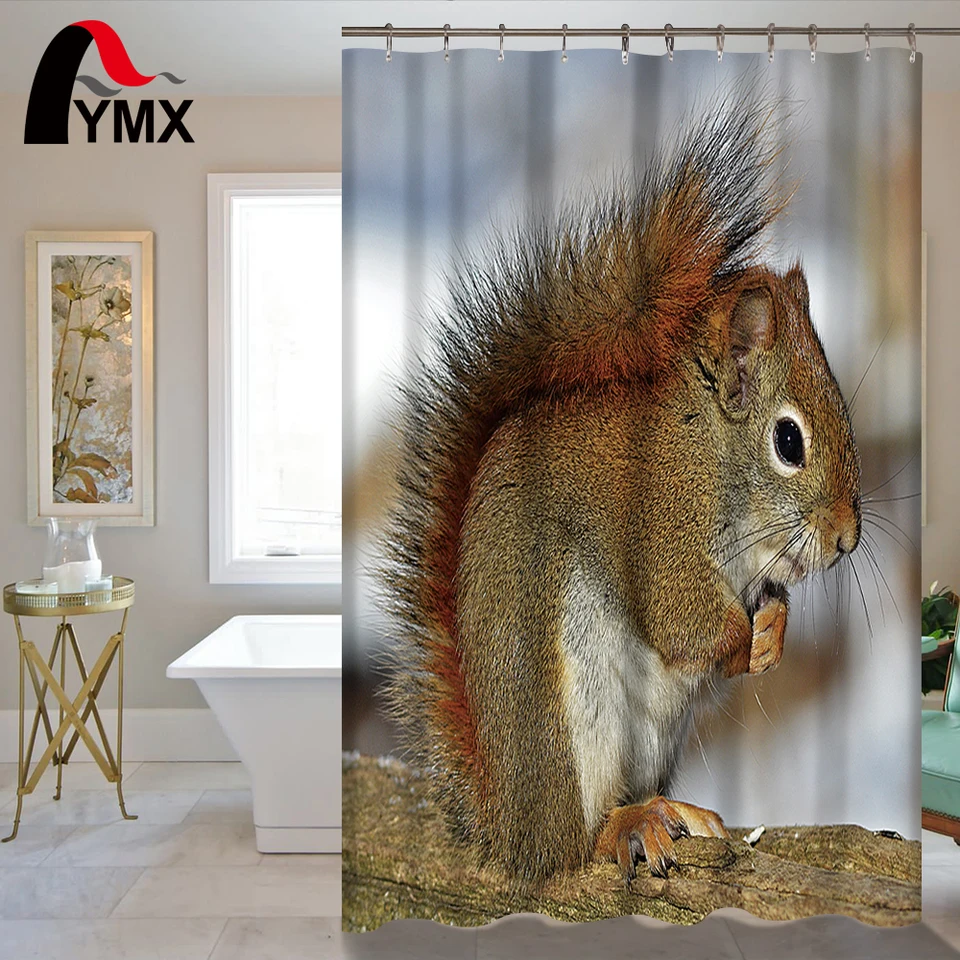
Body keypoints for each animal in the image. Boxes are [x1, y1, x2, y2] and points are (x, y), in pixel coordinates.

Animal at [377, 94, 862, 888]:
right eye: (789, 441)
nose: (847, 539)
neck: (706, 451)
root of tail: (507, 825)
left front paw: (774, 634)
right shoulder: (660, 526)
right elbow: (680, 618)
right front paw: (742, 641)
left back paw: (670, 810)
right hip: (568, 713)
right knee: (573, 846)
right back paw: (621, 827)